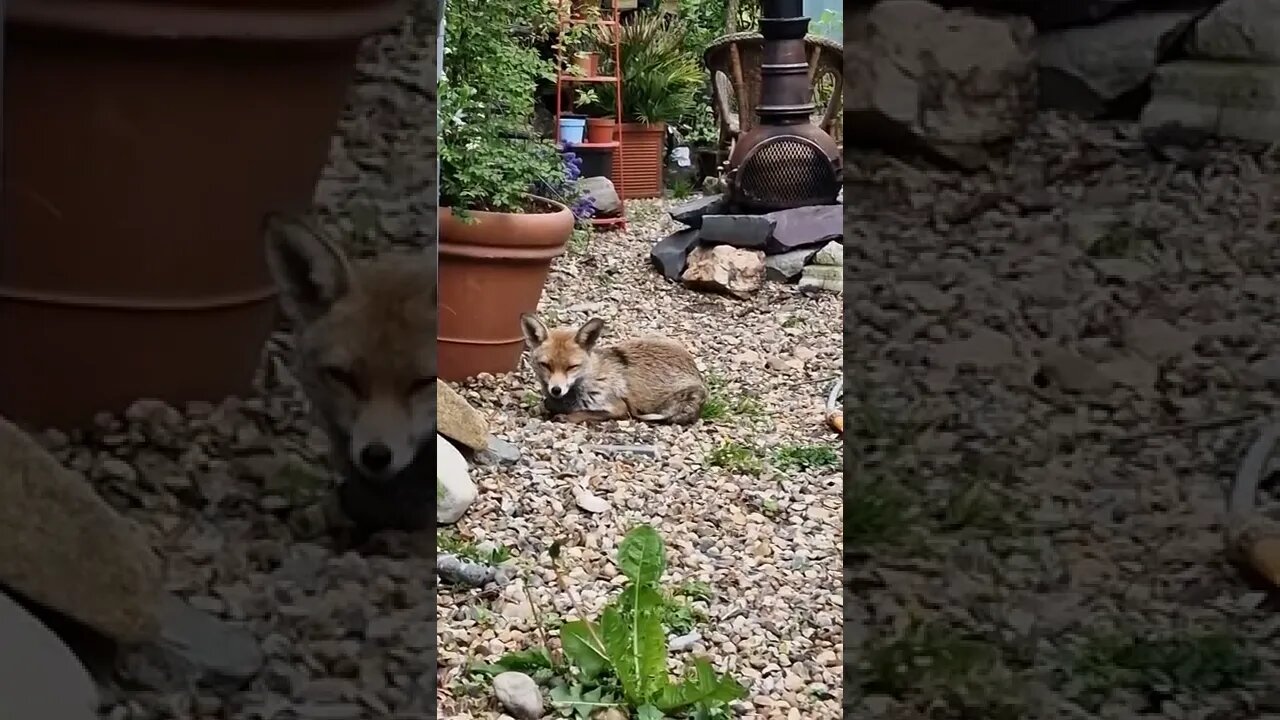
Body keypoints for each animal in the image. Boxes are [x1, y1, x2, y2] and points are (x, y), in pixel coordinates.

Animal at [517, 312, 711, 422]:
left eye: (572, 367)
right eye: (545, 365)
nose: (556, 390)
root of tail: (693, 364)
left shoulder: (618, 407)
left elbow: (582, 414)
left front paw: (565, 416)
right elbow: (545, 404)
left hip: (682, 402)